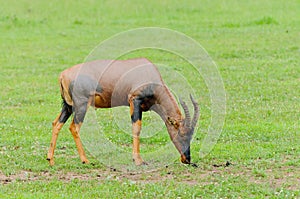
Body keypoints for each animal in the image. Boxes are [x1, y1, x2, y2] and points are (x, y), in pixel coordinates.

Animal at [47, 58, 199, 166]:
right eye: (181, 133)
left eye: (192, 134)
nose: (187, 159)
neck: (148, 71)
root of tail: (63, 75)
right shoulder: (135, 100)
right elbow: (137, 127)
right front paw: (138, 160)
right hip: (81, 105)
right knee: (74, 127)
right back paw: (85, 160)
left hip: (68, 106)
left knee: (56, 123)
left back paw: (50, 159)